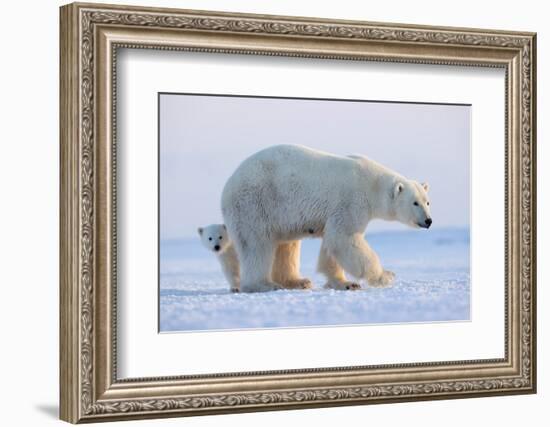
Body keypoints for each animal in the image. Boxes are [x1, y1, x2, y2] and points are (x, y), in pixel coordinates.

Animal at [222, 145, 434, 292]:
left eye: (427, 202)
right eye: (415, 203)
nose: (428, 221)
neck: (372, 184)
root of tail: (227, 187)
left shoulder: (335, 213)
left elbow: (331, 245)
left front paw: (344, 283)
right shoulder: (351, 201)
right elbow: (345, 239)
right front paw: (386, 276)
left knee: (286, 245)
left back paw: (298, 281)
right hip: (255, 204)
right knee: (257, 244)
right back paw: (264, 284)